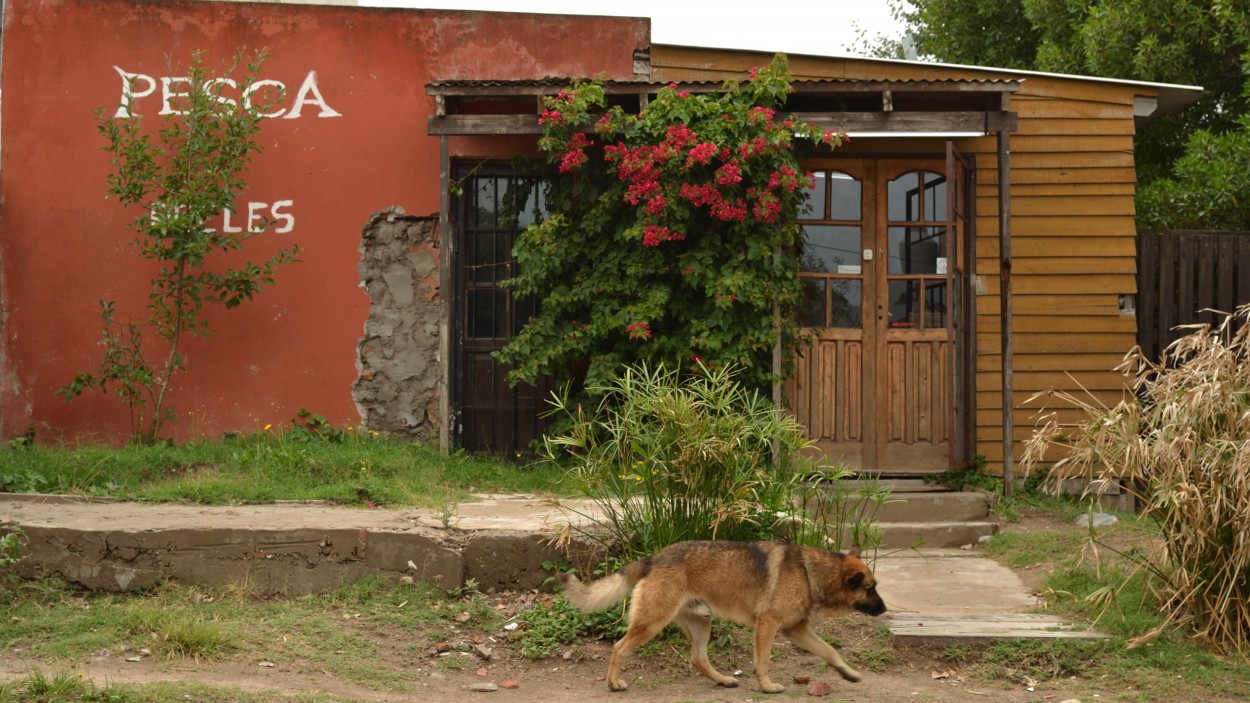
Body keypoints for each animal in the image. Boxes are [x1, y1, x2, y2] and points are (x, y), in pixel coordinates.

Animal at [562, 537, 885, 690]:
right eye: (870, 588)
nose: (885, 609)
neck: (810, 572)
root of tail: (654, 558)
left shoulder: (797, 630)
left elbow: (829, 651)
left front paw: (848, 673)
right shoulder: (769, 625)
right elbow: (763, 662)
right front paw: (767, 687)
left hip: (702, 623)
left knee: (698, 658)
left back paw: (723, 680)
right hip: (652, 624)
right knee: (619, 647)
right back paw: (613, 683)